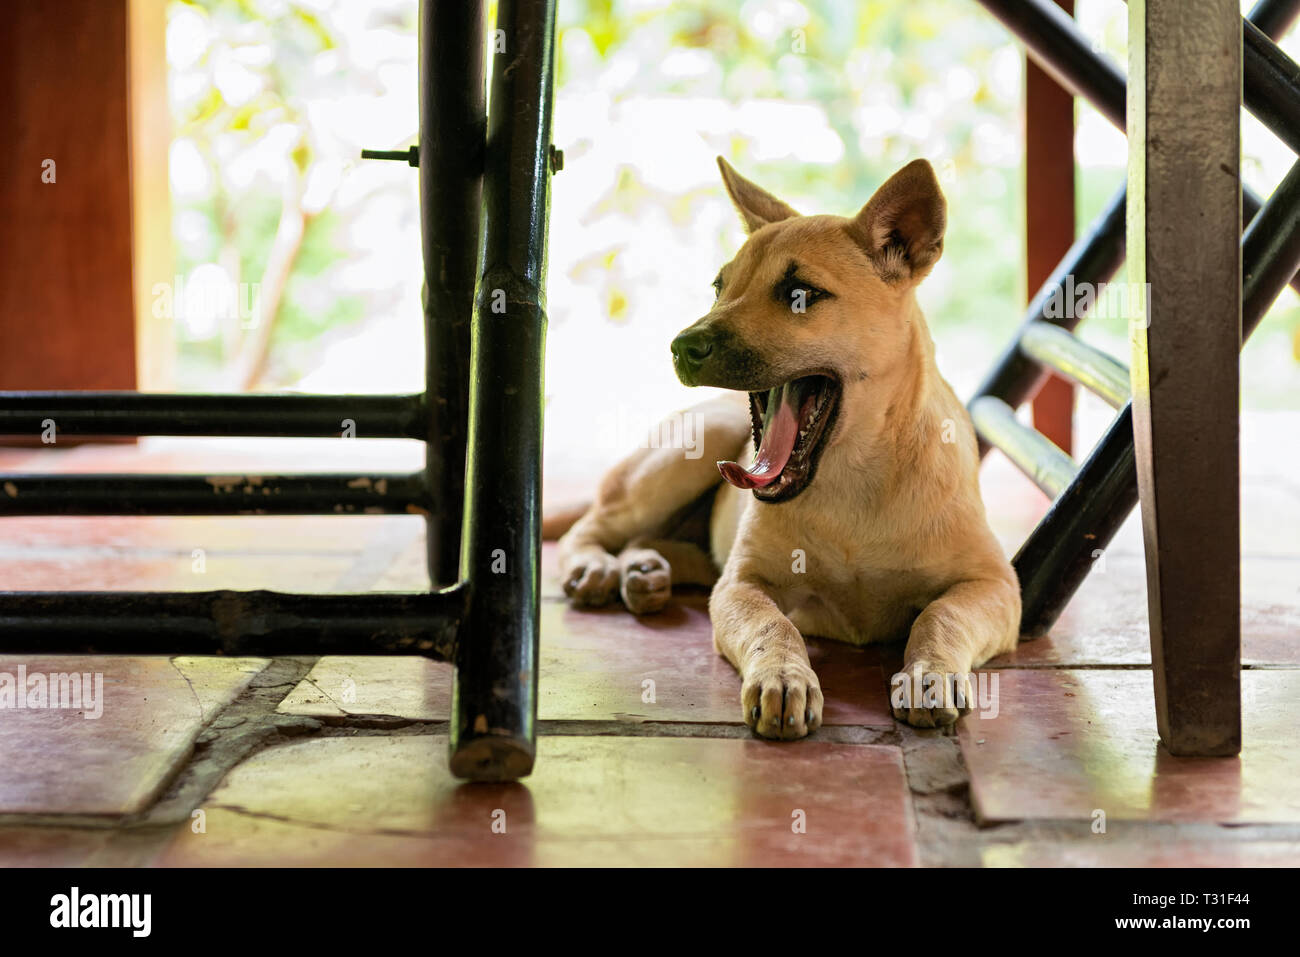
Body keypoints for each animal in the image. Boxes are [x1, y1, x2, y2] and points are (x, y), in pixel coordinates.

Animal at [553, 157, 1019, 738]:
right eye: (719, 286)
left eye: (800, 294)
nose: (681, 347)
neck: (854, 476)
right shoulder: (742, 584)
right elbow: (772, 625)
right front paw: (783, 677)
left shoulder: (996, 586)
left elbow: (942, 614)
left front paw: (928, 674)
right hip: (691, 450)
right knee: (593, 524)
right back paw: (598, 566)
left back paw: (646, 573)